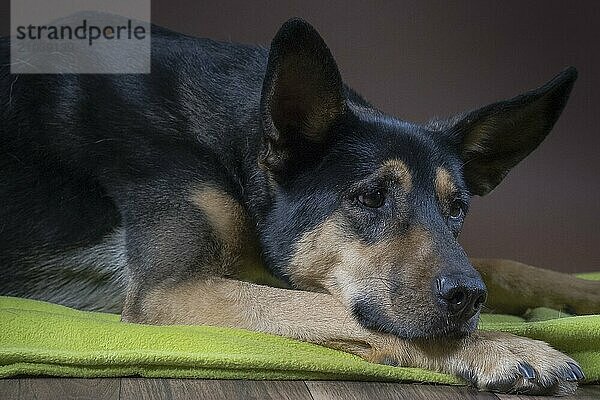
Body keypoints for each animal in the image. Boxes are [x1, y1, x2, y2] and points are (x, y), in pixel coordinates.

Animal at [1, 18, 600, 394]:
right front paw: (506, 347)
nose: (469, 298)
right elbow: (342, 311)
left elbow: (502, 266)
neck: (236, 145)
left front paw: (583, 295)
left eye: (458, 209)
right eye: (370, 196)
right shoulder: (172, 292)